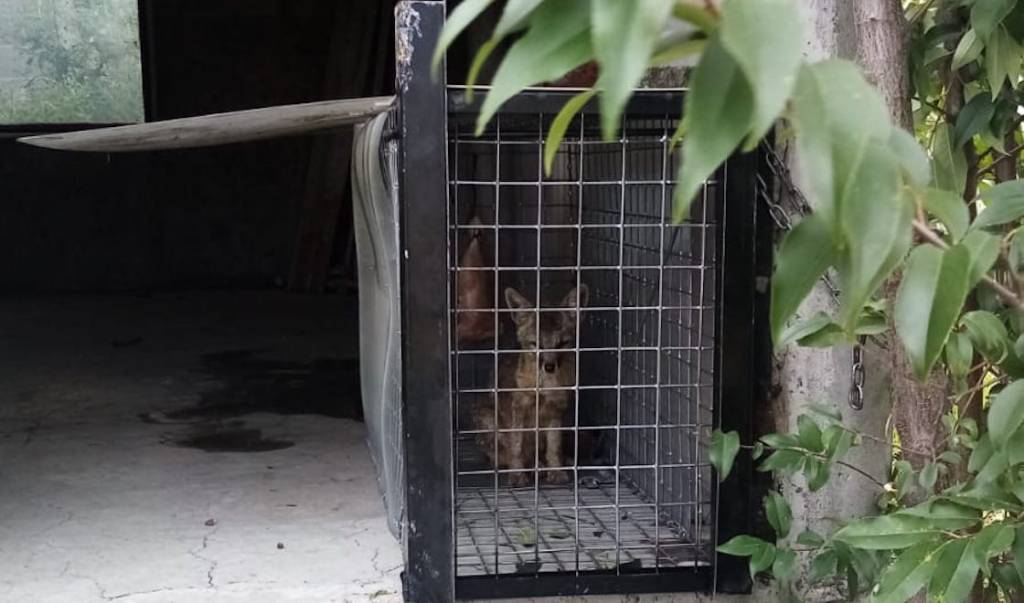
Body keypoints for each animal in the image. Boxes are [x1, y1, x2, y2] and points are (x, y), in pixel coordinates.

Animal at [473, 284, 589, 487]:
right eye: (536, 344)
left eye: (562, 343)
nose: (549, 367)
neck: (543, 386)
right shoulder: (516, 411)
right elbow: (516, 447)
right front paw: (517, 475)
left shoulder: (556, 412)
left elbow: (553, 447)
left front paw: (556, 471)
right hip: (487, 416)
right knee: (502, 457)